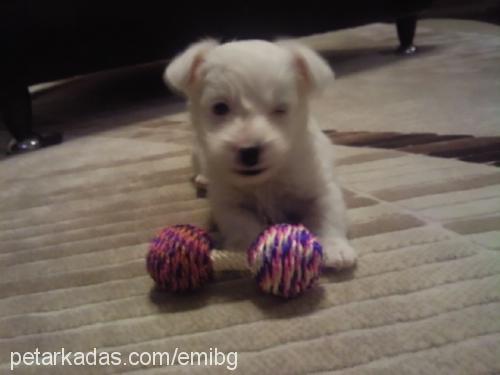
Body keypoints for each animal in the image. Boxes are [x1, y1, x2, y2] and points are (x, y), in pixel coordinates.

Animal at [164, 39, 356, 270]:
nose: (249, 151)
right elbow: (241, 225)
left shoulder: (320, 189)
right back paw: (202, 178)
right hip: (197, 153)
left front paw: (335, 248)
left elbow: (327, 217)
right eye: (220, 108)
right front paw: (244, 250)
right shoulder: (229, 203)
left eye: (280, 110)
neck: (266, 179)